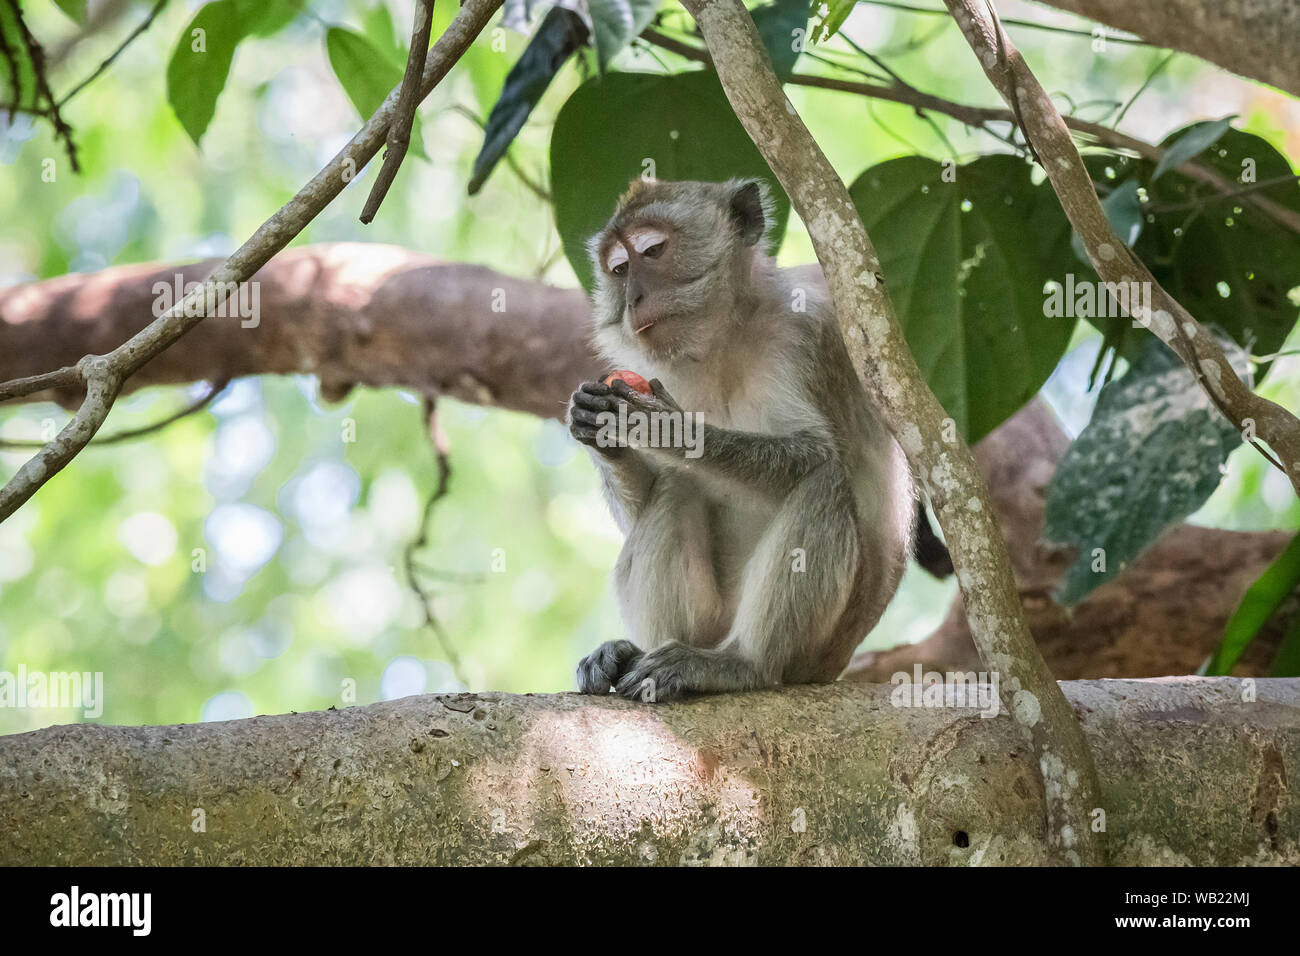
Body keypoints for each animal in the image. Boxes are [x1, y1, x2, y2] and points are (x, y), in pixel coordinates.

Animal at [566, 177, 944, 702]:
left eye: (653, 251)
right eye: (619, 270)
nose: (633, 298)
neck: (721, 341)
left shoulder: (803, 335)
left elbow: (815, 450)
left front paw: (669, 429)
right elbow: (645, 500)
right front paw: (600, 432)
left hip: (816, 651)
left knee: (823, 481)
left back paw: (742, 664)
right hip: (711, 620)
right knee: (677, 488)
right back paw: (636, 655)